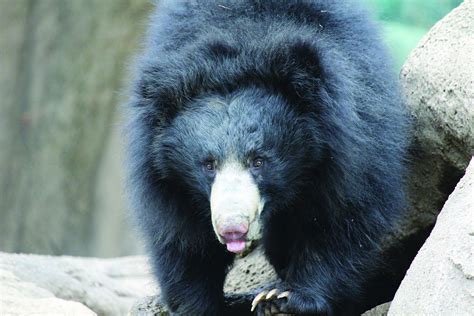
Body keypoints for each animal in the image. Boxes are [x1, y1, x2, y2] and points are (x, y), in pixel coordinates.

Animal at [124, 0, 410, 316]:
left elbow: (341, 216)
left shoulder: (350, 147)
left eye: (258, 161)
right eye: (208, 165)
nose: (232, 229)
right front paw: (198, 305)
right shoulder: (162, 176)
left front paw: (284, 297)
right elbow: (180, 236)